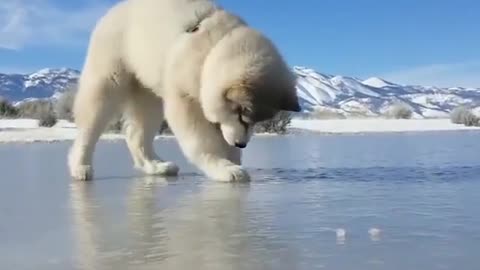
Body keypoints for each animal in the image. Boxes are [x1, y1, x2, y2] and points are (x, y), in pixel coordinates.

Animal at [67, 0, 300, 182]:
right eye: (243, 115)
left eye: (256, 121)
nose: (241, 144)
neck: (212, 51)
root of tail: (114, 10)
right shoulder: (185, 98)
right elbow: (201, 141)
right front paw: (224, 168)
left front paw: (232, 159)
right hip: (108, 80)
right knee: (90, 126)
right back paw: (80, 167)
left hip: (147, 94)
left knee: (136, 134)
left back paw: (156, 166)